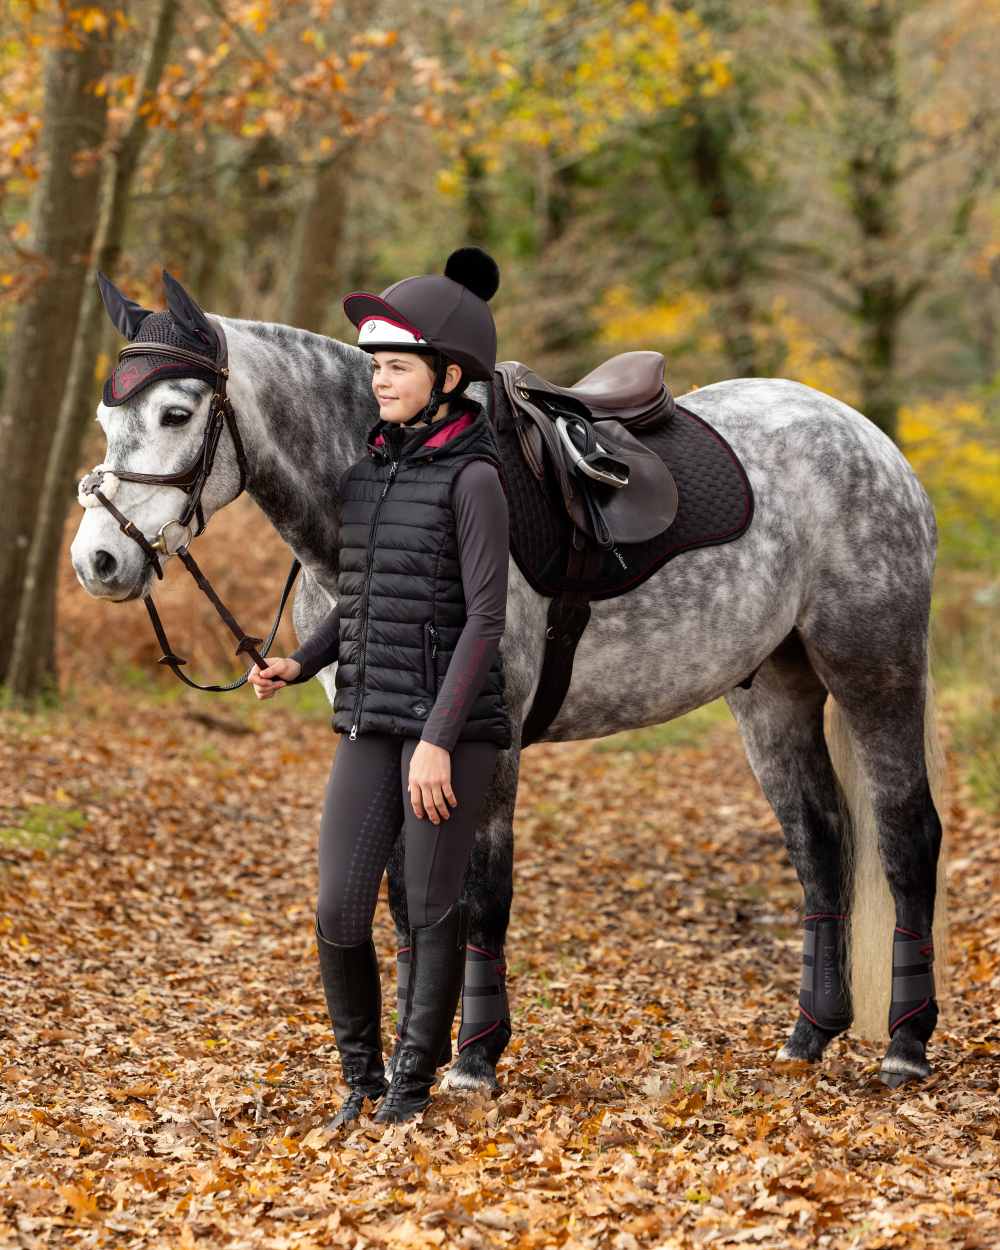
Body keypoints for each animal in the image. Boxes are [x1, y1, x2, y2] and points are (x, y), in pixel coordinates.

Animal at [74, 276, 950, 1095]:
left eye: (177, 413)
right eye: (108, 420)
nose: (98, 562)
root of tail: (870, 441)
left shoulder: (481, 742)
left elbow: (480, 894)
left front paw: (472, 1060)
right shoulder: (387, 733)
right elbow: (405, 897)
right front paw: (414, 1052)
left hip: (875, 672)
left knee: (906, 835)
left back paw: (906, 1044)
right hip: (772, 694)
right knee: (821, 844)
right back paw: (812, 1033)